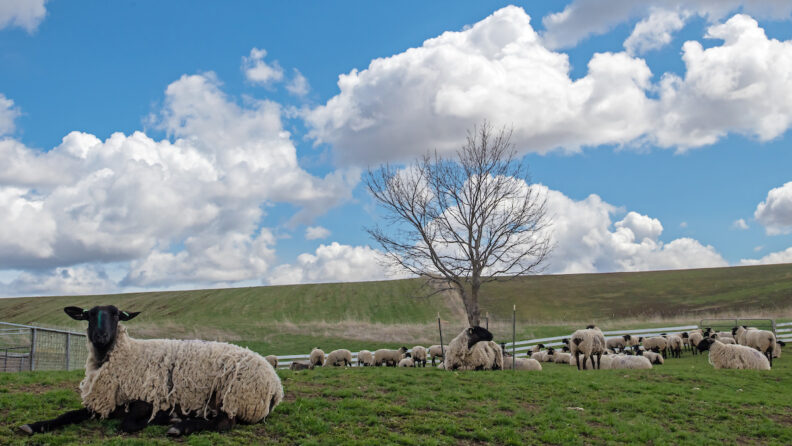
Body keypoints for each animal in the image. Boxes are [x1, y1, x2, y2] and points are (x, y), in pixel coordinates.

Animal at [21, 305, 283, 437]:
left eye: (116, 315)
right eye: (88, 315)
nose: (100, 336)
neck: (125, 354)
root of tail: (276, 386)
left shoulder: (147, 399)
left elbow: (127, 424)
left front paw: (164, 418)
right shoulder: (104, 403)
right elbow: (67, 415)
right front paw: (34, 426)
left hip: (234, 396)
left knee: (224, 423)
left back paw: (180, 426)